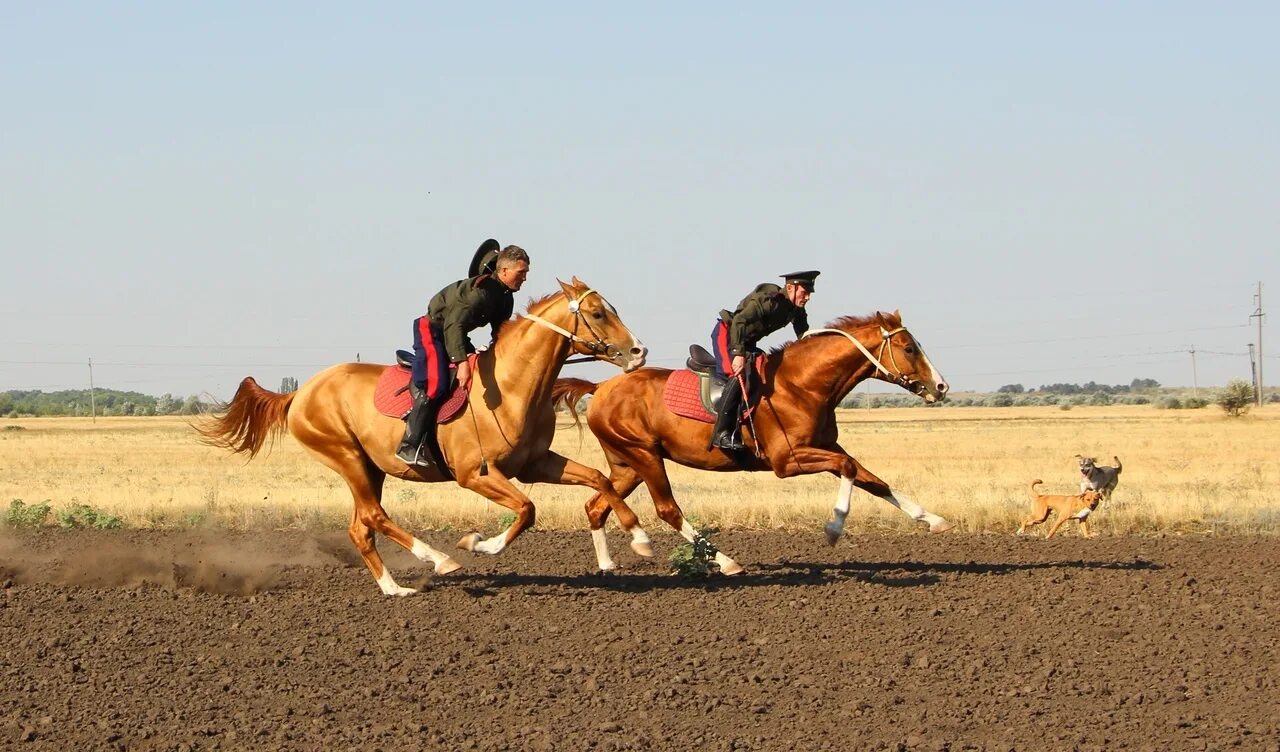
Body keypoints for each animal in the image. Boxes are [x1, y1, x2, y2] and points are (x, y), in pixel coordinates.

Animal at [204, 278, 655, 595]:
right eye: (597, 313)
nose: (639, 352)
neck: (513, 385)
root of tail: (299, 393)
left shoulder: (535, 464)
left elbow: (599, 480)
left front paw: (635, 541)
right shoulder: (475, 475)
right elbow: (527, 510)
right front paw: (478, 544)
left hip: (369, 467)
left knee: (361, 527)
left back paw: (394, 588)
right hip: (347, 457)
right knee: (374, 516)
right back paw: (437, 560)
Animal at [555, 308, 957, 572]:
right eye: (909, 348)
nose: (941, 387)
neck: (802, 384)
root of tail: (599, 387)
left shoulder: (826, 447)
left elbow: (871, 479)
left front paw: (932, 519)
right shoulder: (787, 460)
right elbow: (849, 469)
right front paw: (833, 528)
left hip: (628, 464)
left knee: (596, 505)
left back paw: (608, 565)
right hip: (644, 455)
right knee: (667, 509)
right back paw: (725, 561)